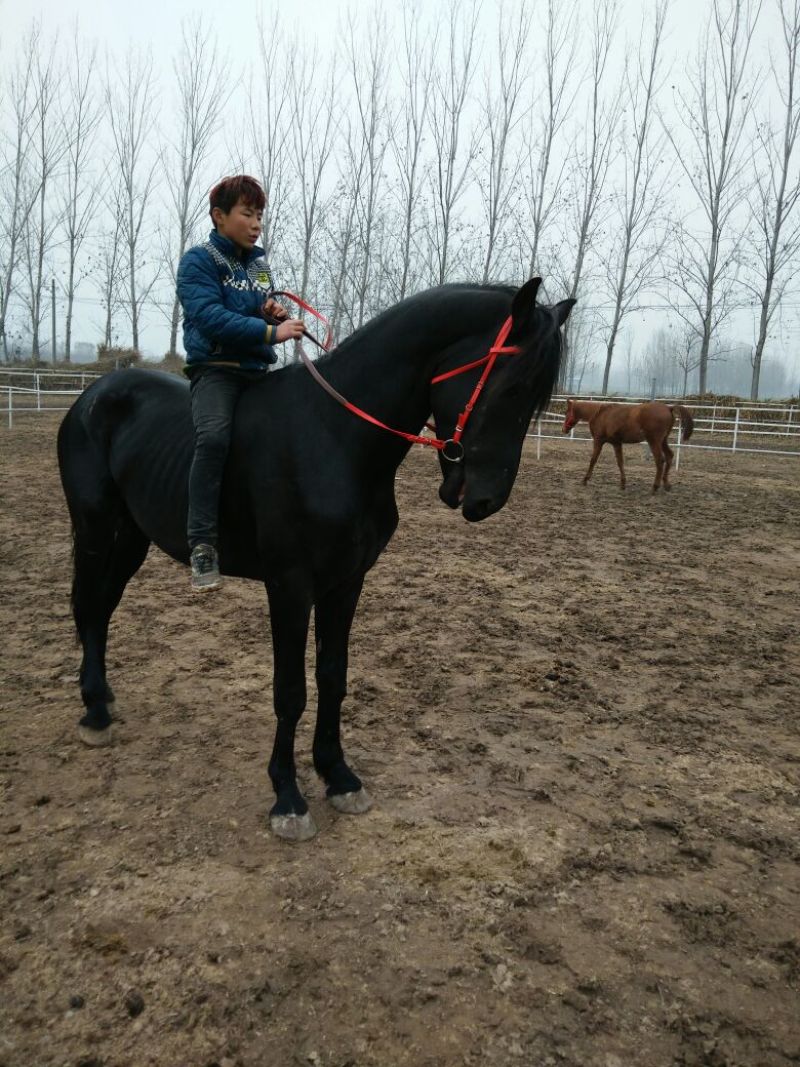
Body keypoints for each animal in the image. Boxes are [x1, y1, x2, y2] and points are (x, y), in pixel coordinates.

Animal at [58, 278, 575, 841]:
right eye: (511, 389)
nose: (486, 500)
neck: (333, 437)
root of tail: (92, 397)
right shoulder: (290, 586)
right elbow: (290, 690)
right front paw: (287, 796)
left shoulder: (345, 582)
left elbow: (332, 675)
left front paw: (338, 775)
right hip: (95, 530)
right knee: (90, 606)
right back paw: (93, 714)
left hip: (131, 537)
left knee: (103, 609)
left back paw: (102, 700)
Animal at [562, 399, 694, 492]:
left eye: (566, 412)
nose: (563, 430)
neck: (600, 414)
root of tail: (668, 408)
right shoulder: (616, 443)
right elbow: (620, 462)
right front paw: (623, 484)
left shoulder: (599, 441)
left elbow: (593, 460)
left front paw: (585, 480)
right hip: (663, 441)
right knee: (669, 456)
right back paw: (666, 485)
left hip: (654, 441)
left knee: (660, 460)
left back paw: (655, 487)